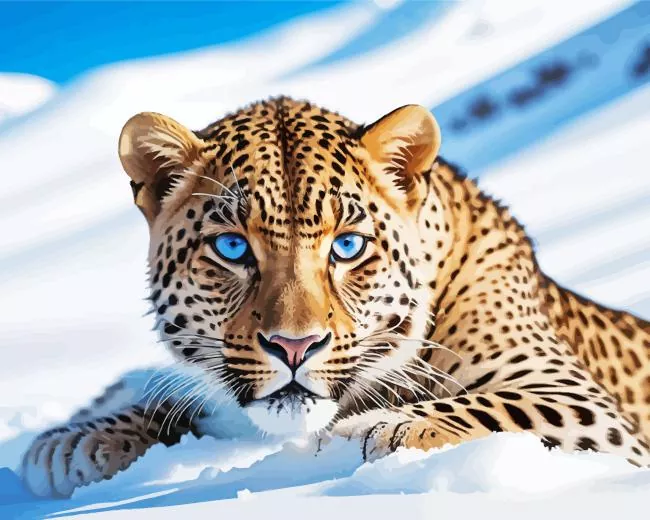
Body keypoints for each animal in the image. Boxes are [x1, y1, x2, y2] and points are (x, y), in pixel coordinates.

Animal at [20, 97, 650, 498]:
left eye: (348, 246)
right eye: (231, 246)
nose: (294, 347)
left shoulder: (583, 404)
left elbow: (503, 407)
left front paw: (388, 428)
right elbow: (200, 408)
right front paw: (77, 441)